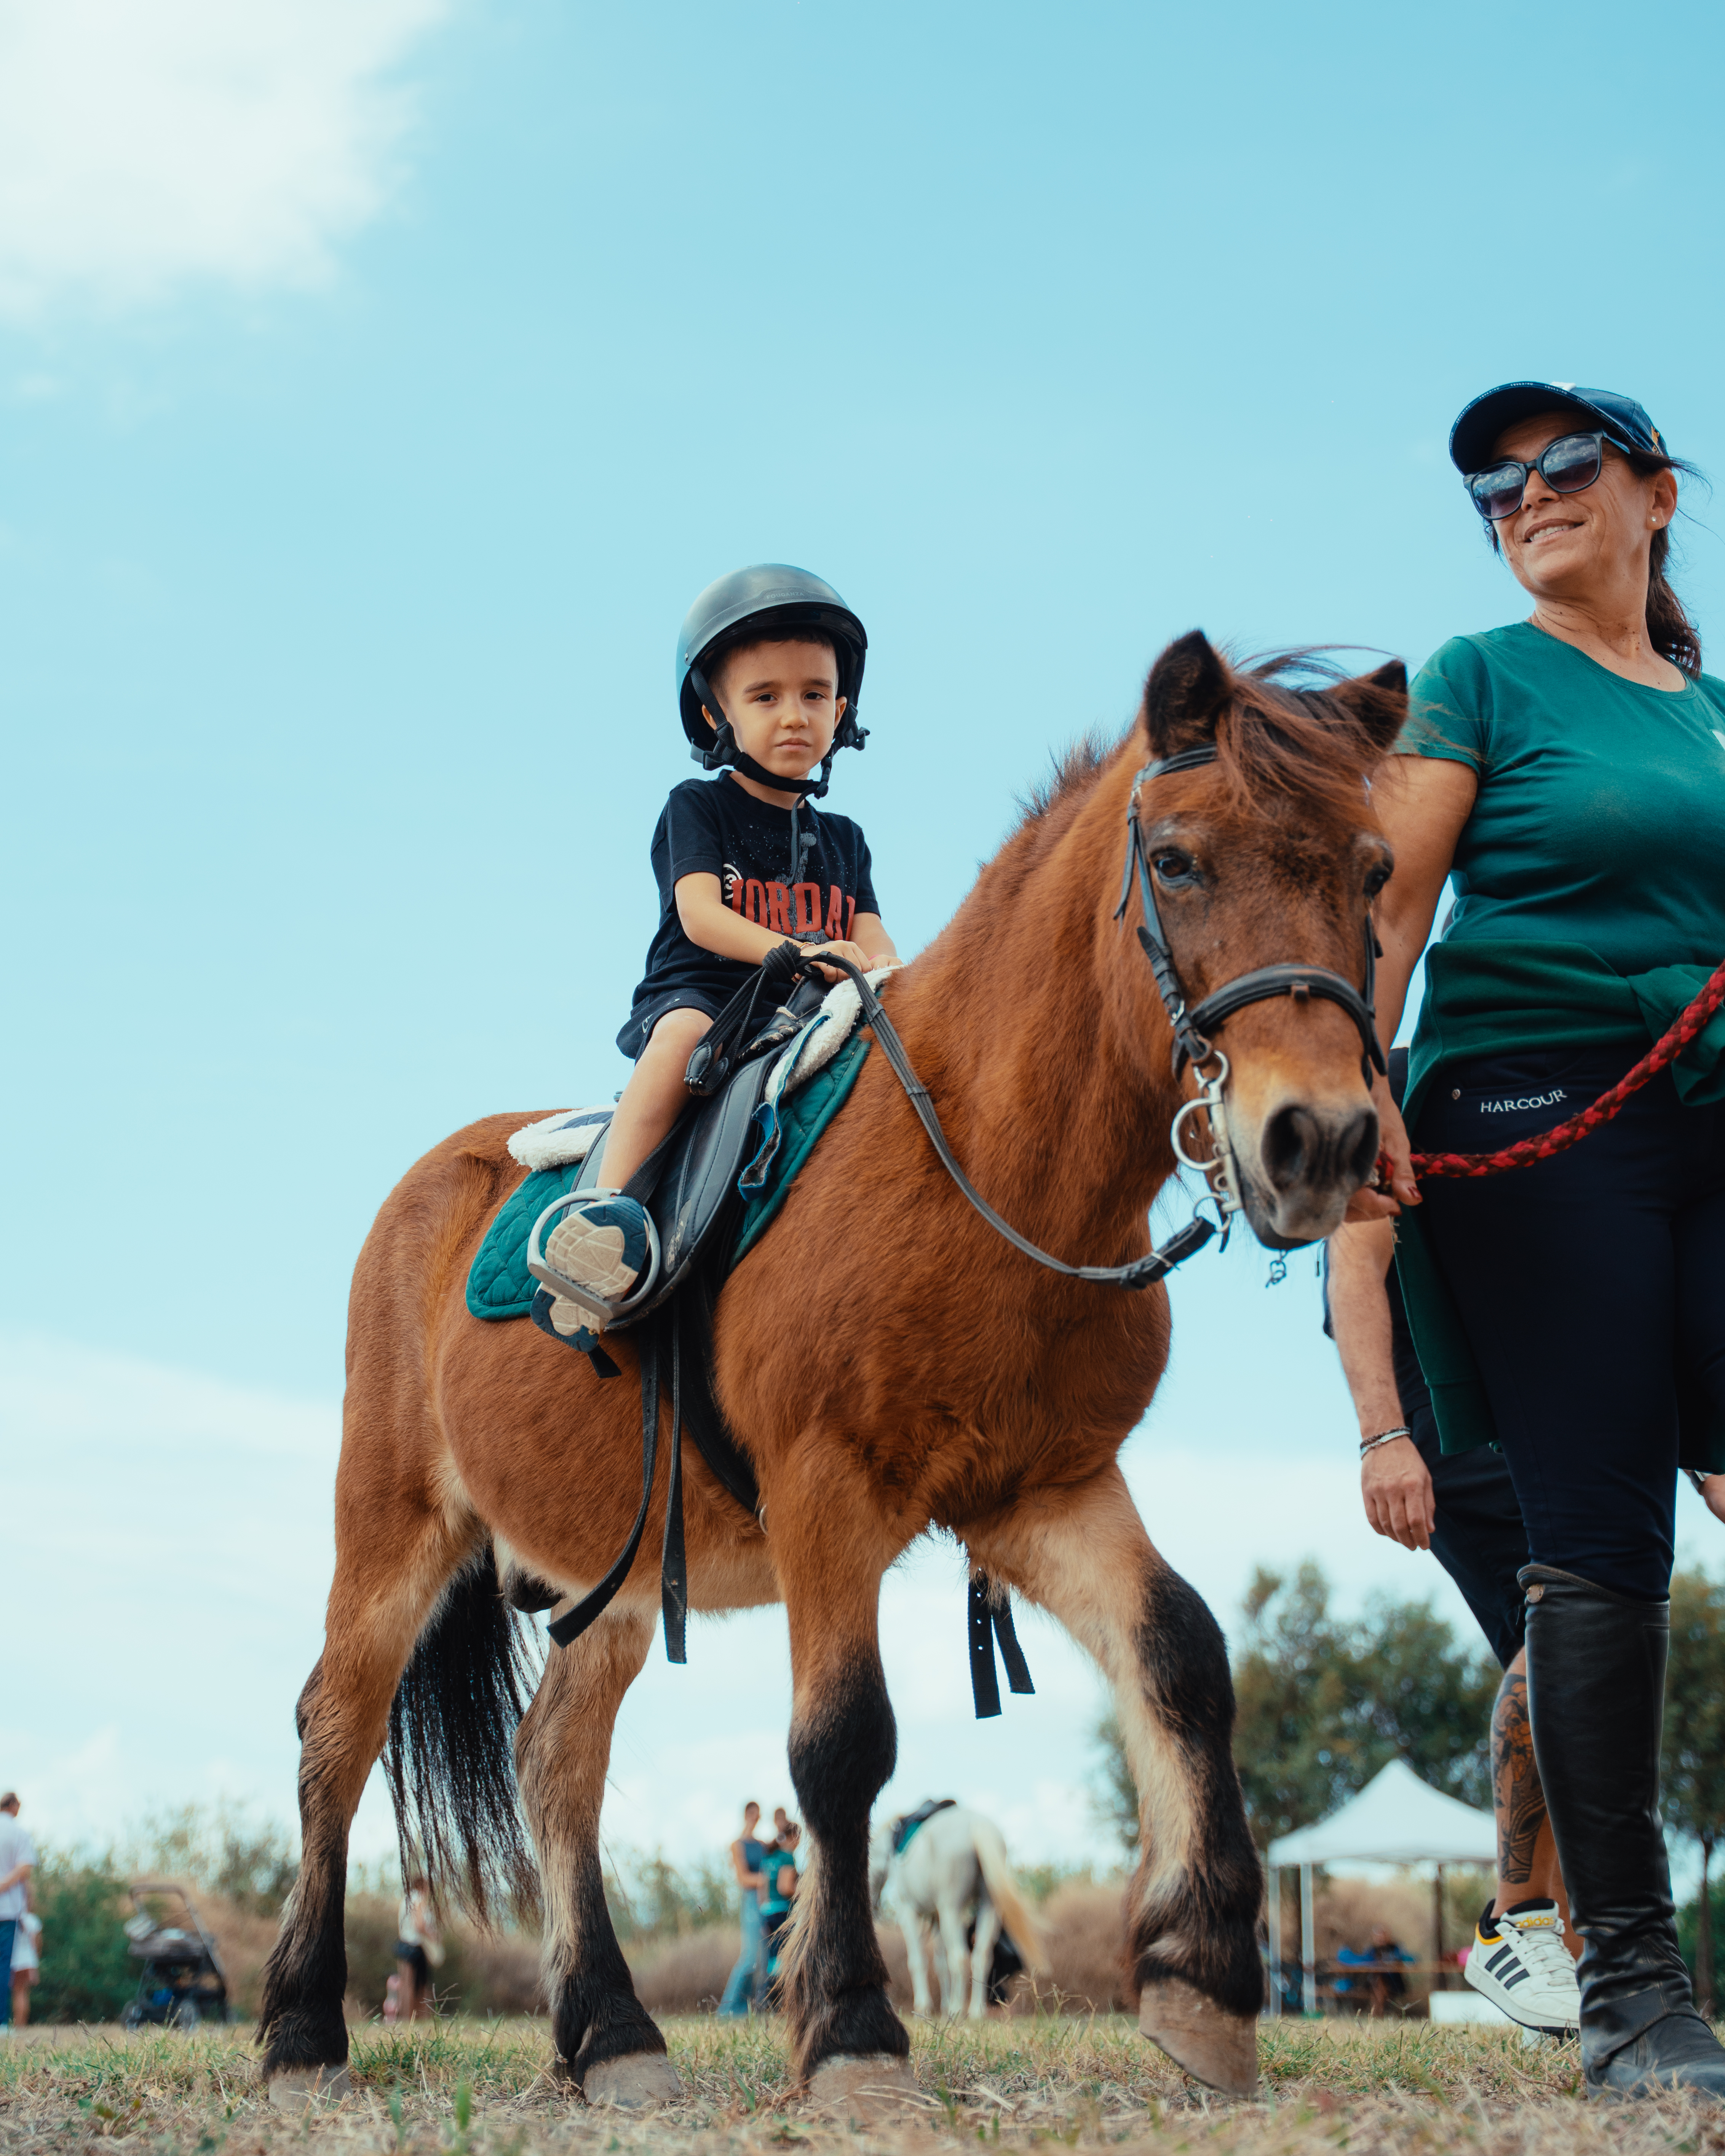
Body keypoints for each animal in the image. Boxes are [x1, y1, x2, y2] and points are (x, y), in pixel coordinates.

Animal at [870, 1804, 1047, 2019]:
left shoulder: (909, 1912)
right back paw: (976, 2011)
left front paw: (924, 2009)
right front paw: (944, 2006)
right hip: (988, 1906)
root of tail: (975, 1825)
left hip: (951, 1909)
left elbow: (918, 1961)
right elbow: (941, 1965)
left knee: (960, 1957)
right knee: (981, 1956)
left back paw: (957, 2010)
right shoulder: (937, 1920)